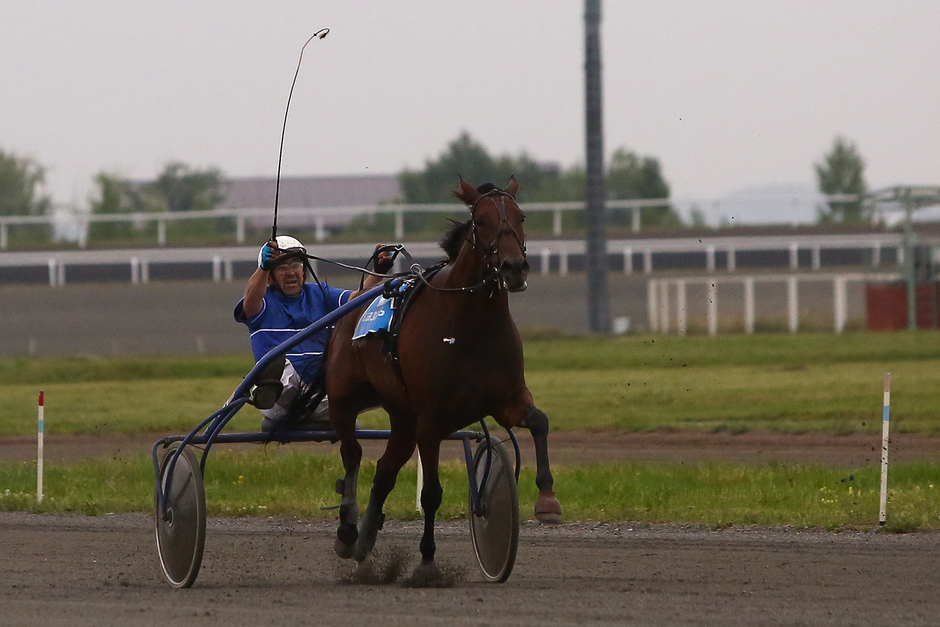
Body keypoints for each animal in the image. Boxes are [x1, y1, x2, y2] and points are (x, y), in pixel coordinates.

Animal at [324, 175, 560, 580]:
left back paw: (365, 540)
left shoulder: (507, 400)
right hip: (345, 399)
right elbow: (431, 493)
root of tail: (358, 294)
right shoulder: (431, 421)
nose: (514, 268)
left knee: (384, 472)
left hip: (402, 417)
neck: (468, 324)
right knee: (352, 455)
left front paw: (547, 500)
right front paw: (427, 562)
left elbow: (540, 422)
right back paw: (348, 531)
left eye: (521, 216)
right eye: (480, 221)